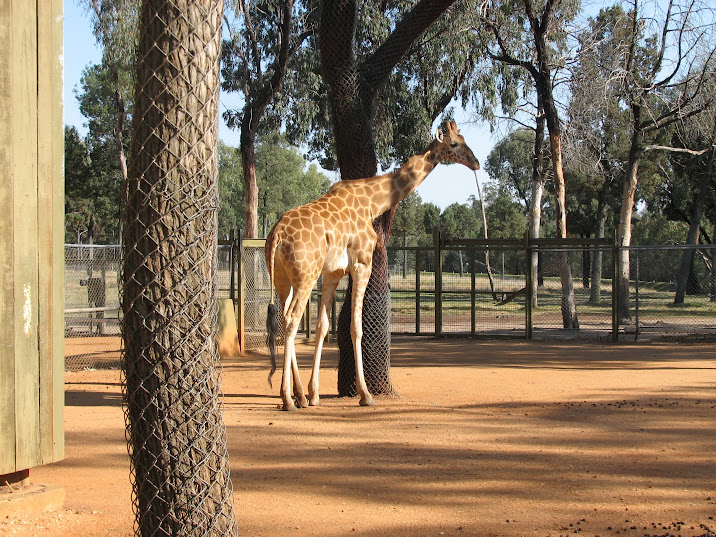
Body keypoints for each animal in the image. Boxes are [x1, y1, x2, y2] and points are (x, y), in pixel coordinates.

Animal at [264, 121, 480, 410]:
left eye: (464, 139)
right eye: (454, 143)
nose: (476, 162)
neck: (372, 203)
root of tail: (276, 234)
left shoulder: (332, 273)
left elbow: (323, 327)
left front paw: (314, 394)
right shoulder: (361, 264)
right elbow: (356, 328)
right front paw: (365, 395)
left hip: (283, 279)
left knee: (284, 320)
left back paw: (296, 395)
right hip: (305, 277)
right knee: (291, 320)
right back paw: (287, 398)